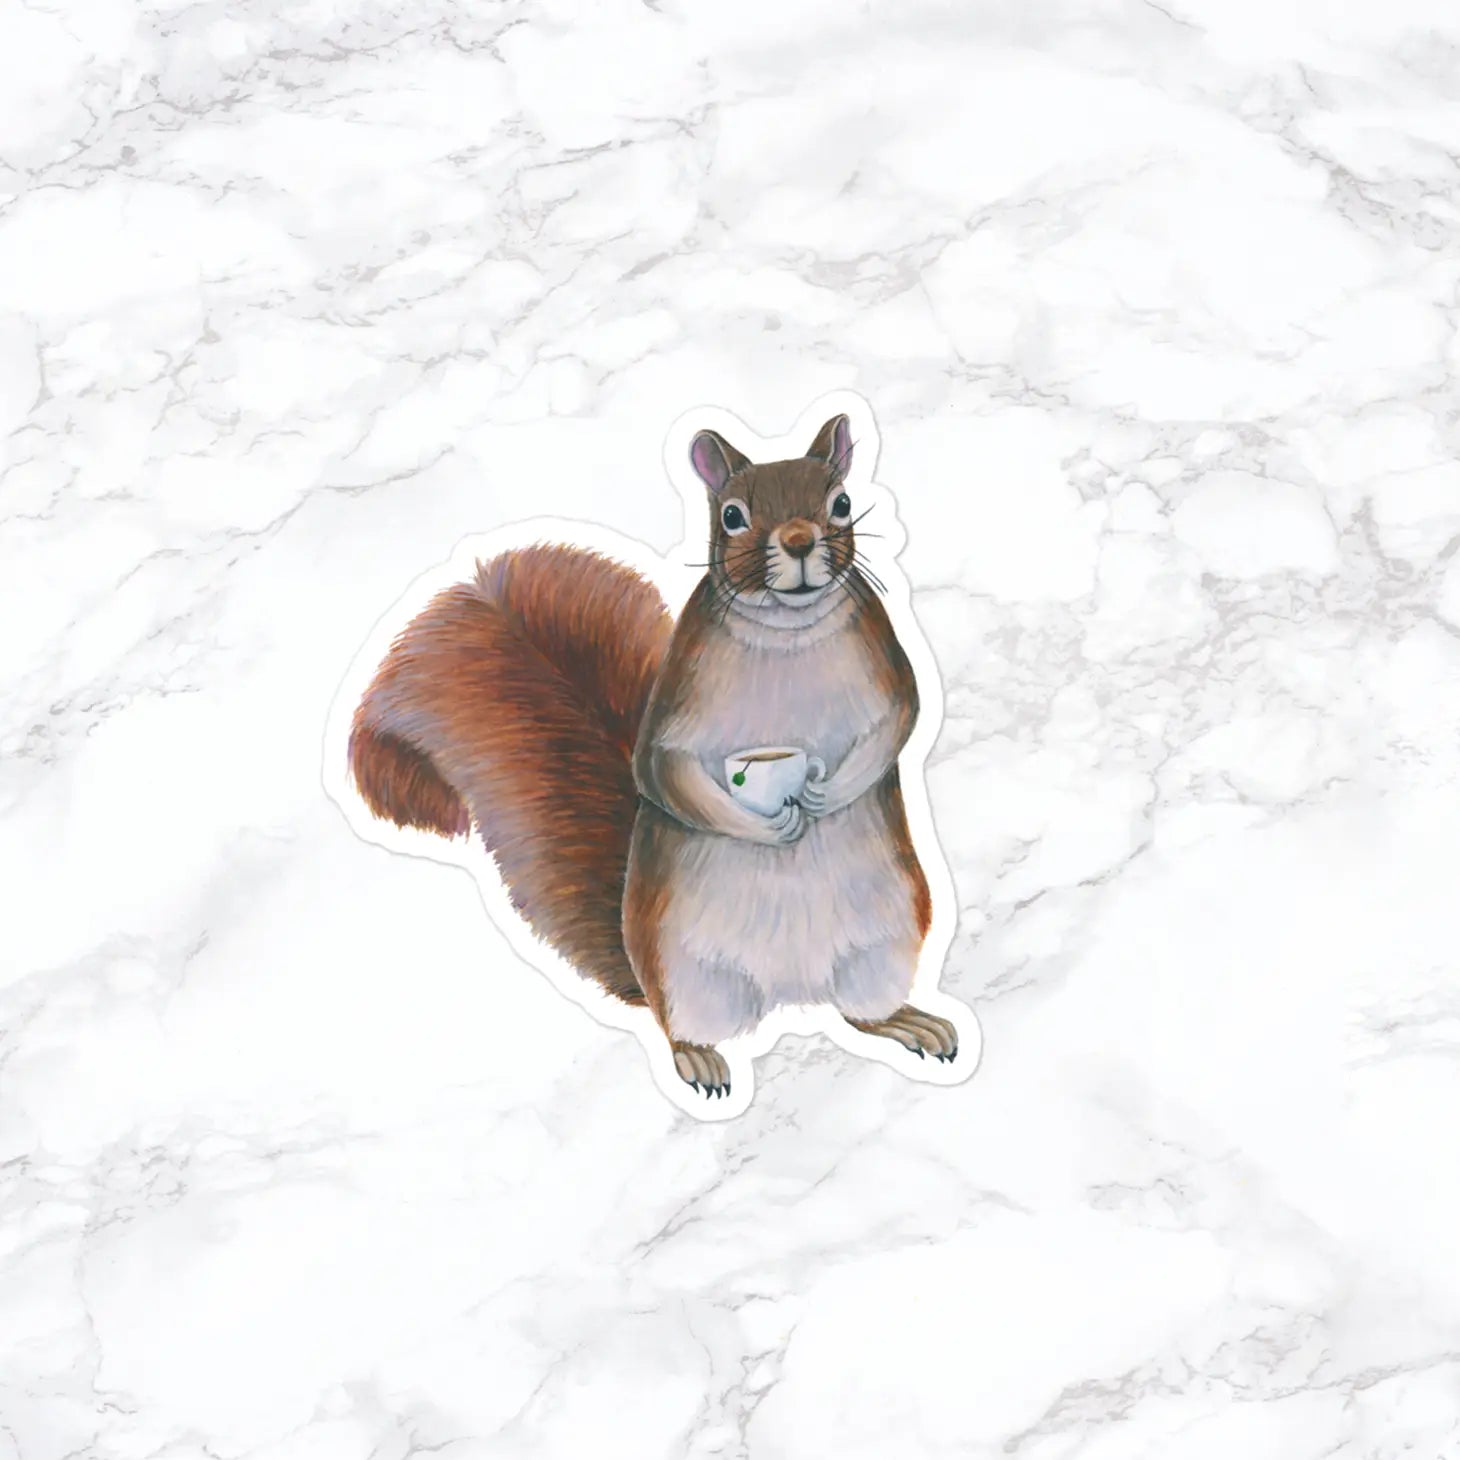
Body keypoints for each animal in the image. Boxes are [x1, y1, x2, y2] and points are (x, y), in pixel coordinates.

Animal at [349, 412, 957, 1099]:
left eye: (841, 504)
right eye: (732, 516)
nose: (800, 541)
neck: (788, 629)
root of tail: (792, 993)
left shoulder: (886, 662)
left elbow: (900, 720)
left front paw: (827, 793)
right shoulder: (679, 698)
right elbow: (661, 770)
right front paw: (768, 825)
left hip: (886, 940)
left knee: (861, 1011)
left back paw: (910, 1021)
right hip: (684, 972)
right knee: (685, 1026)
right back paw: (700, 1060)